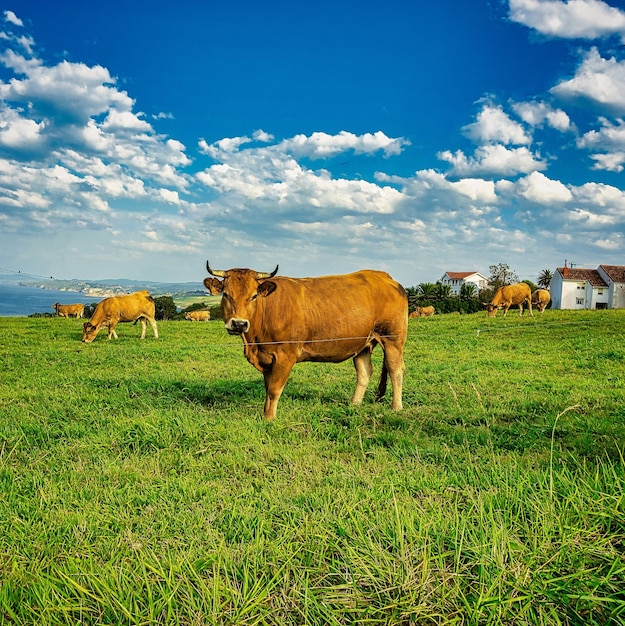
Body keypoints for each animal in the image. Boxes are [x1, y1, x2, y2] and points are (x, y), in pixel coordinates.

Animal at [205, 260, 408, 422]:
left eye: (254, 296)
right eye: (226, 294)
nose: (239, 324)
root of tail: (385, 277)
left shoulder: (285, 357)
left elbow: (274, 390)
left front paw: (270, 419)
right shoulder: (267, 358)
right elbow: (267, 389)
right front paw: (265, 414)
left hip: (392, 338)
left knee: (395, 369)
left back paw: (396, 407)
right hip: (362, 344)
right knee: (365, 372)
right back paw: (354, 404)